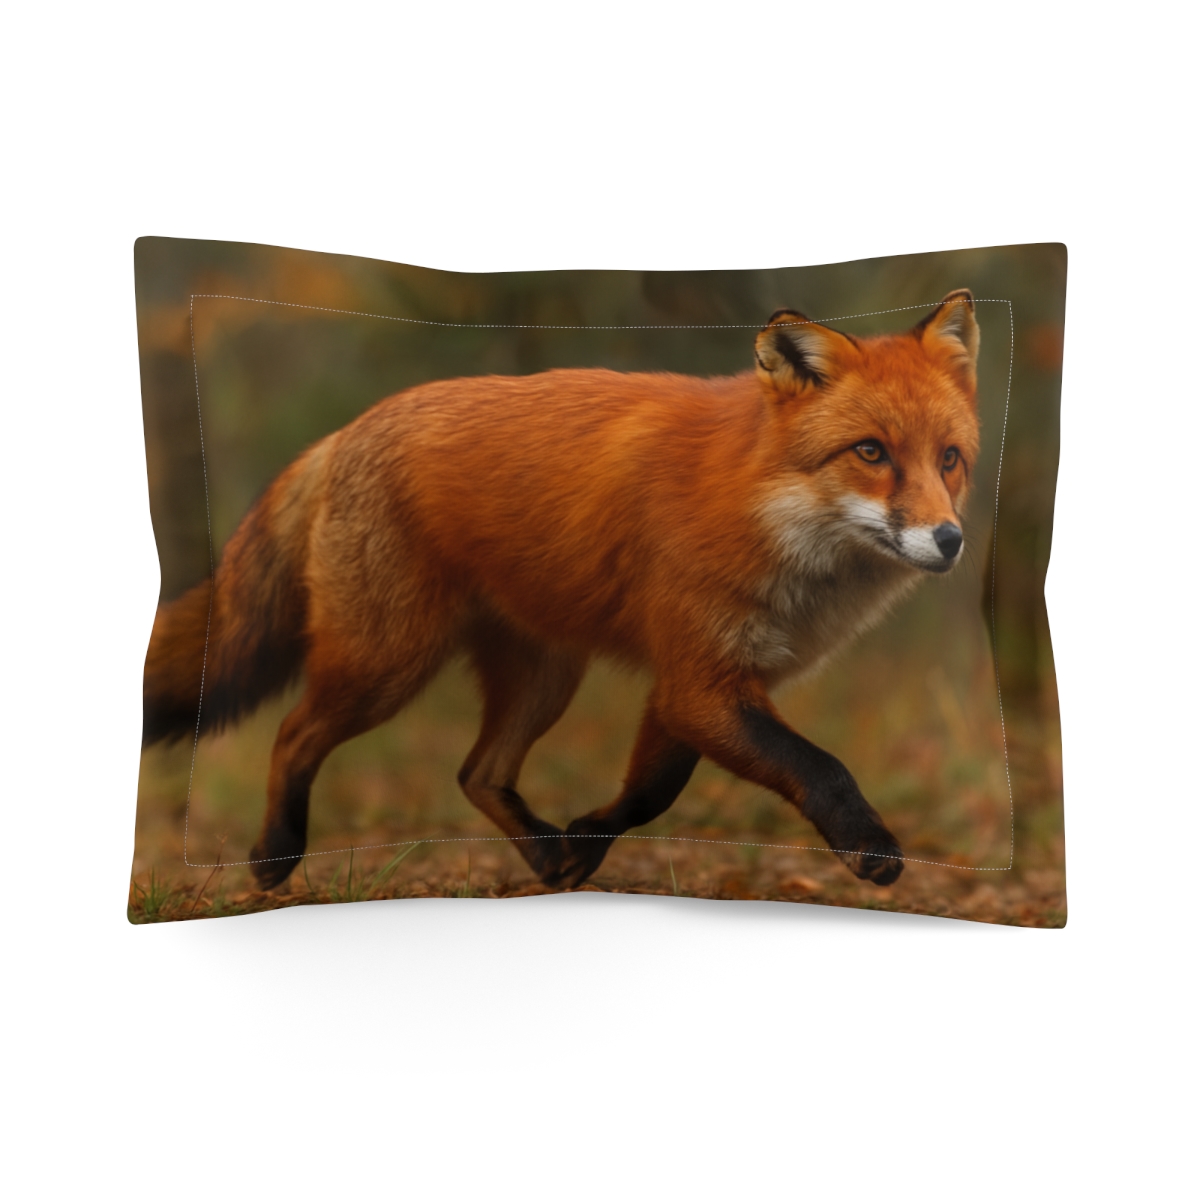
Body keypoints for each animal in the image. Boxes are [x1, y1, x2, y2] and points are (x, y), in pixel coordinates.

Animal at [143, 289, 982, 892]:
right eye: (870, 453)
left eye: (949, 459)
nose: (949, 540)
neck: (756, 501)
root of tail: (344, 431)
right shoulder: (699, 680)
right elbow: (820, 766)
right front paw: (870, 848)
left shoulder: (697, 684)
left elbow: (652, 794)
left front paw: (583, 842)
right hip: (386, 664)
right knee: (292, 735)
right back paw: (274, 854)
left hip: (544, 675)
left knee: (476, 774)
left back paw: (547, 856)